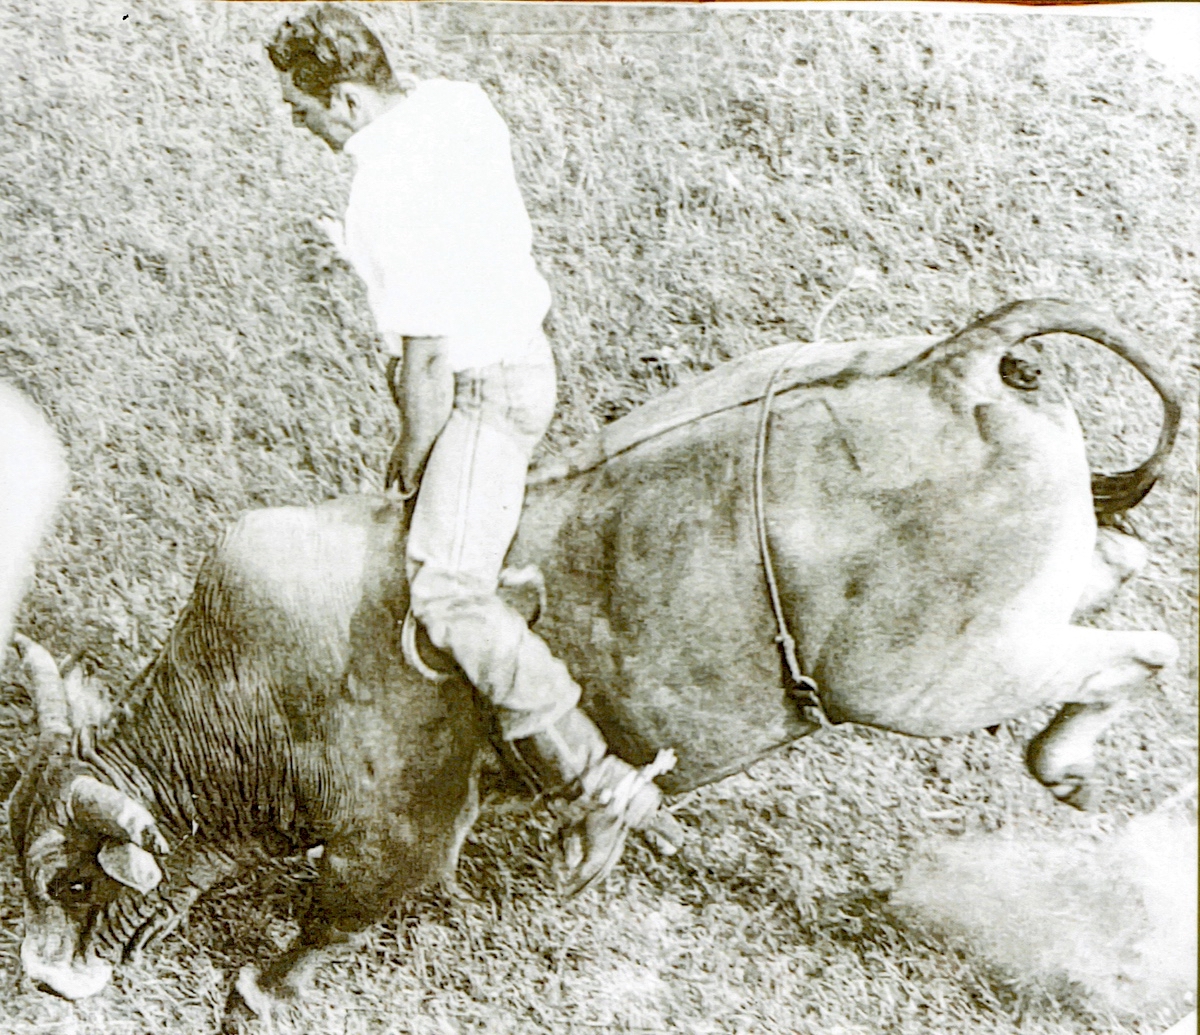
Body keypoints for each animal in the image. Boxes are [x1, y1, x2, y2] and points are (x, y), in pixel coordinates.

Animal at [2, 300, 1180, 1013]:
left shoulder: (397, 837)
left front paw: (259, 995)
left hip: (938, 675)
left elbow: (332, 917)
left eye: (70, 880)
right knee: (1123, 571)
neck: (244, 699)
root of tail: (953, 362)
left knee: (1144, 647)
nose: (45, 982)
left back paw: (1065, 757)